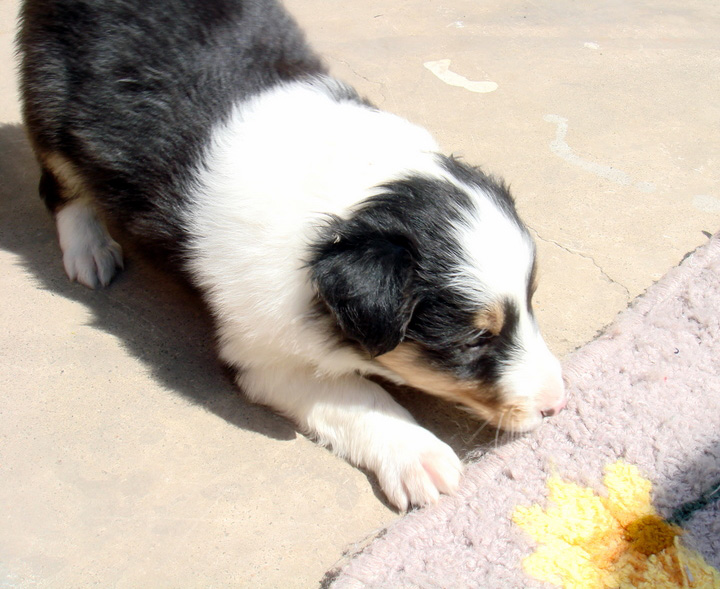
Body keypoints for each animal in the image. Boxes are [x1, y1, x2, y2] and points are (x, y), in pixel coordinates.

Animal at [16, 0, 564, 508]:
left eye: (532, 303)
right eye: (473, 341)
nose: (557, 404)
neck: (349, 207)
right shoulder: (263, 356)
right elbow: (360, 396)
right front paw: (420, 457)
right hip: (49, 95)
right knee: (57, 179)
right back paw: (88, 248)